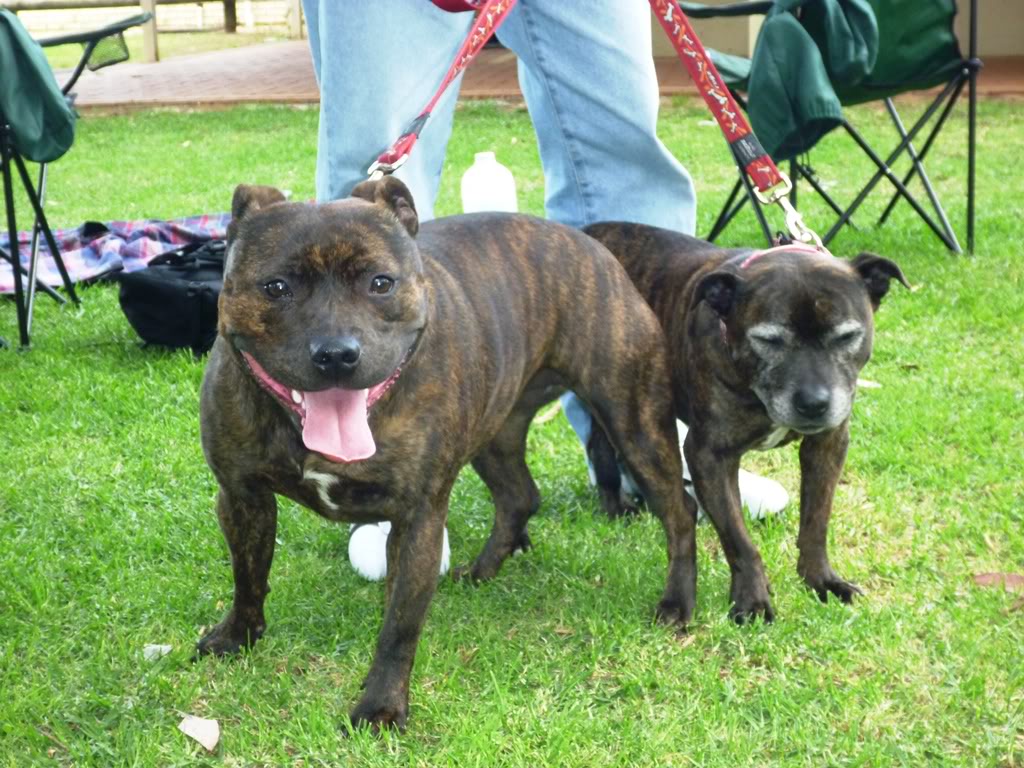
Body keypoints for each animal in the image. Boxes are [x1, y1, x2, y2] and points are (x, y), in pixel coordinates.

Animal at [195, 179, 696, 733]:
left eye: (381, 283)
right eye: (276, 287)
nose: (336, 353)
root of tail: (590, 244)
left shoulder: (417, 521)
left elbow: (399, 625)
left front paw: (381, 705)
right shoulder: (242, 497)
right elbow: (248, 575)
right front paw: (238, 636)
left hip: (635, 422)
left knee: (680, 511)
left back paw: (677, 603)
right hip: (497, 432)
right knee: (519, 497)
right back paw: (481, 572)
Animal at [581, 222, 909, 626]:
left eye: (847, 335)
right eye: (768, 339)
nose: (814, 403)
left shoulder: (827, 444)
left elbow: (816, 522)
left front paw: (821, 580)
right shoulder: (709, 456)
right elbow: (738, 539)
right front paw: (751, 600)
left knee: (599, 442)